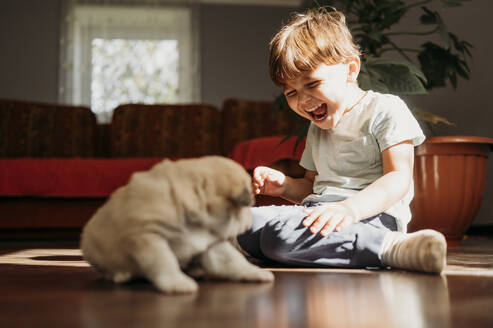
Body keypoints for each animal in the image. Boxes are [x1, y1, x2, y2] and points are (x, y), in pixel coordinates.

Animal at [80, 155, 272, 294]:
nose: (249, 221)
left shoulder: (211, 243)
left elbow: (233, 261)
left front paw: (254, 272)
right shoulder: (148, 237)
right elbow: (164, 261)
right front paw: (177, 283)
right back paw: (120, 275)